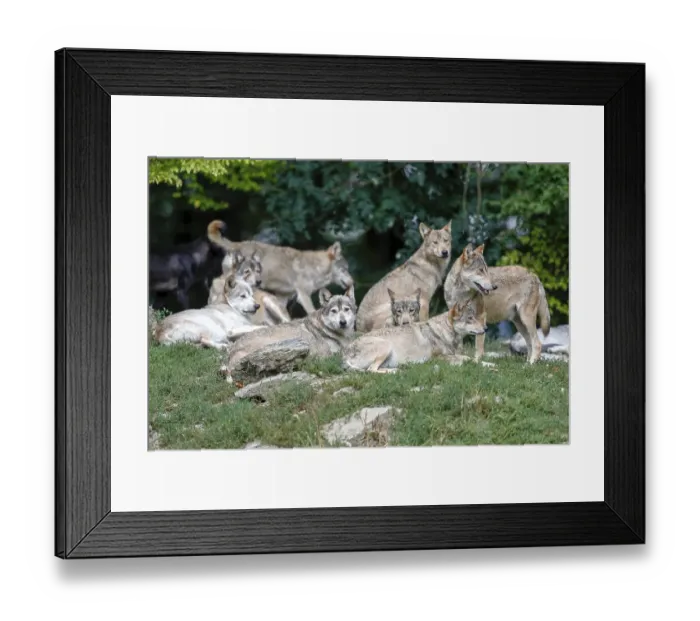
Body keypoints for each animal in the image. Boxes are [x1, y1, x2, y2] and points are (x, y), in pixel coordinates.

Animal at [208, 227, 353, 316]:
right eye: (345, 269)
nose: (352, 282)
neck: (314, 268)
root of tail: (236, 244)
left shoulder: (284, 297)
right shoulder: (303, 296)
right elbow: (311, 312)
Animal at [342, 291, 486, 373]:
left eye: (474, 317)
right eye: (470, 318)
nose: (486, 329)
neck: (444, 331)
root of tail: (344, 355)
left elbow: (471, 358)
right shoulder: (437, 358)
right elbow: (468, 359)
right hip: (385, 346)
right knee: (370, 370)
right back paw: (395, 371)